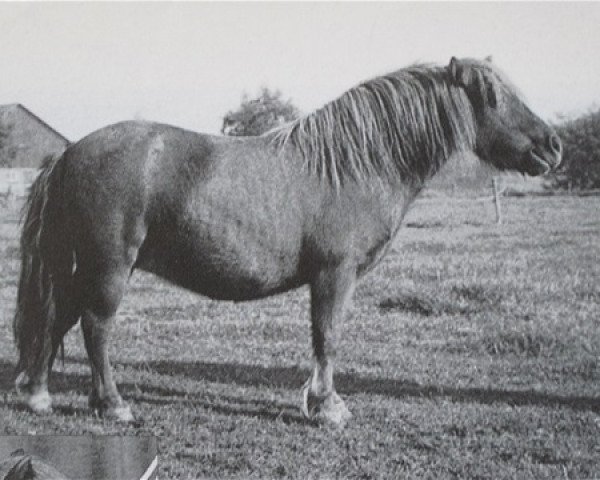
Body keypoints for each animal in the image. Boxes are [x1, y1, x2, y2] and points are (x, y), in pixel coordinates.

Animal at [11, 58, 560, 426]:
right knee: (95, 327)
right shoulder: (335, 274)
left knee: (58, 321)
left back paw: (38, 395)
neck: (355, 164)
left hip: (79, 266)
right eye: (492, 95)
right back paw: (114, 405)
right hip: (108, 267)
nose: (552, 145)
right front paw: (328, 407)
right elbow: (327, 336)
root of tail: (69, 154)